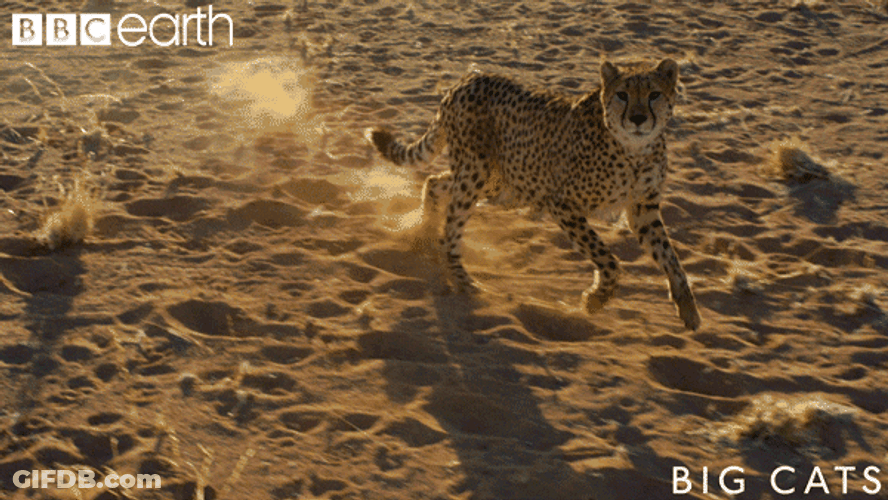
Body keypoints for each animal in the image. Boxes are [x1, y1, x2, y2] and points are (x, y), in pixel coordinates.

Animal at [367, 58, 701, 330]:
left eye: (654, 94)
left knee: (434, 182)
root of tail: (468, 79)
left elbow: (671, 258)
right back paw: (462, 280)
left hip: (497, 182)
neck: (635, 151)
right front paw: (596, 299)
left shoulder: (643, 209)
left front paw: (688, 308)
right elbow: (608, 259)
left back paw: (423, 231)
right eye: (623, 95)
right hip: (477, 175)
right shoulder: (563, 204)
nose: (638, 118)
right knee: (450, 231)